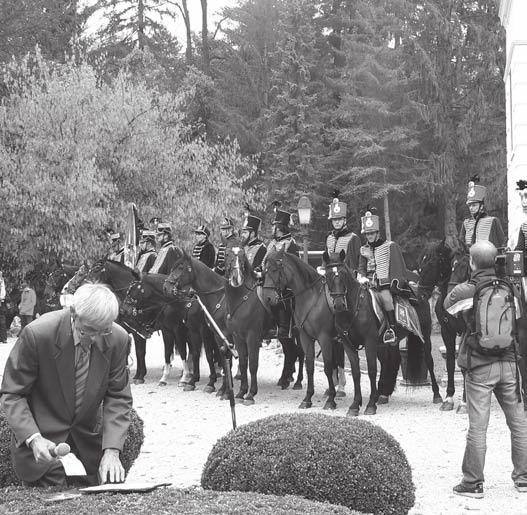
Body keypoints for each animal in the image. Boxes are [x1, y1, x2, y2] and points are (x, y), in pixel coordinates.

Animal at [262, 249, 344, 412]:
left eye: (275, 269)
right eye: (265, 270)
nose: (267, 298)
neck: (312, 298)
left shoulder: (324, 338)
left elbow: (327, 366)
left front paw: (330, 400)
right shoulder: (305, 337)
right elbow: (309, 366)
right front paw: (307, 398)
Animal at [418, 240, 472, 414]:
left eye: (431, 263)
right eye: (421, 263)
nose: (420, 294)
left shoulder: (466, 333)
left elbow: (464, 366)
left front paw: (464, 403)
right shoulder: (447, 331)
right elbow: (450, 363)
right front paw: (448, 398)